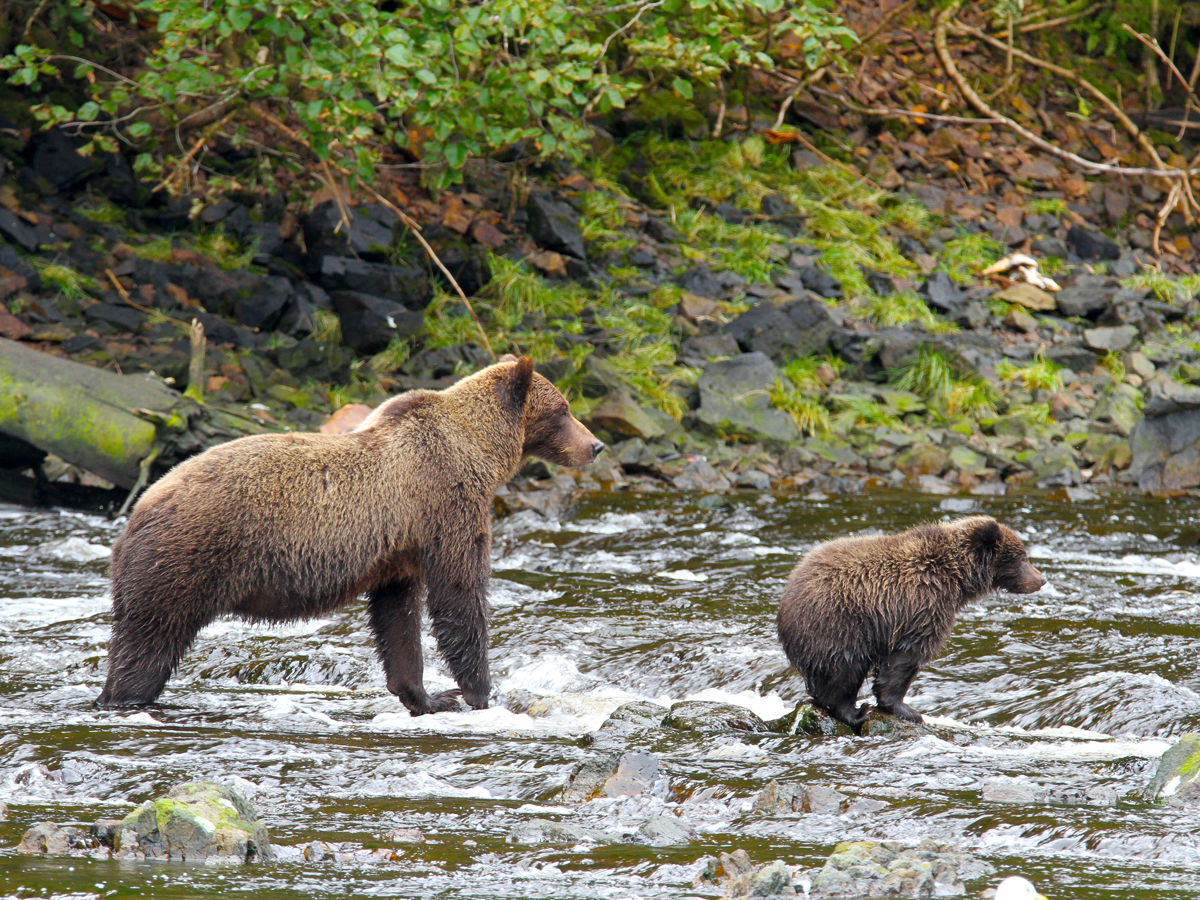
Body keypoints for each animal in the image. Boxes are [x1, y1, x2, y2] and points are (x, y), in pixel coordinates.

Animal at [96, 356, 604, 715]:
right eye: (564, 410)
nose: (596, 445)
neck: (479, 452)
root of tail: (137, 512)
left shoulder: (400, 547)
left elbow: (397, 617)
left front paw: (426, 696)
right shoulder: (446, 504)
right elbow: (459, 595)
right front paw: (479, 691)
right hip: (186, 558)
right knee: (148, 642)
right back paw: (125, 697)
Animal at [777, 516, 1045, 733]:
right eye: (1022, 557)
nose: (1041, 579)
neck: (957, 578)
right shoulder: (922, 605)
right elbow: (906, 658)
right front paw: (907, 710)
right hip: (839, 624)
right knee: (843, 670)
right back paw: (855, 712)